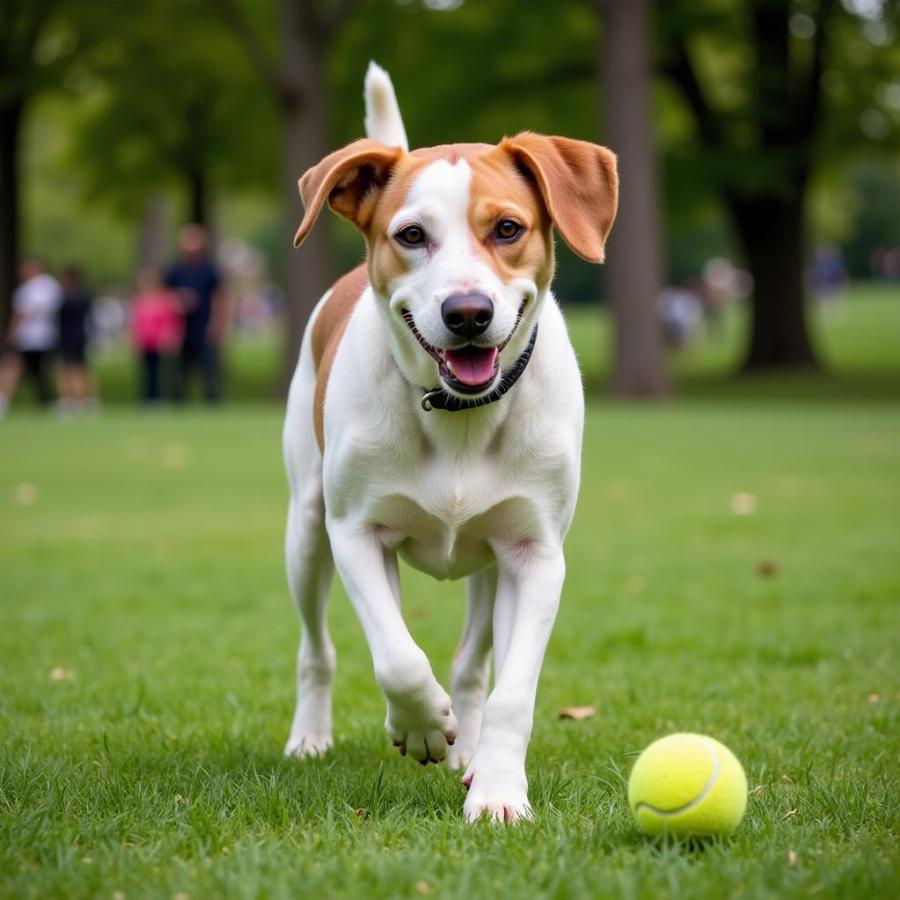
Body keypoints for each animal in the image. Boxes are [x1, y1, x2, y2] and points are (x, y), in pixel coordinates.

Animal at [284, 61, 620, 824]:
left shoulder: (535, 552)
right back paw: (314, 737)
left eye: (508, 227)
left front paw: (497, 790)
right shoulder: (356, 531)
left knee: (473, 661)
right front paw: (418, 723)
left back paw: (467, 741)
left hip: (489, 558)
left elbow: (513, 691)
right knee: (318, 646)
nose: (468, 312)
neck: (461, 417)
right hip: (307, 527)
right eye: (411, 235)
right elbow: (397, 655)